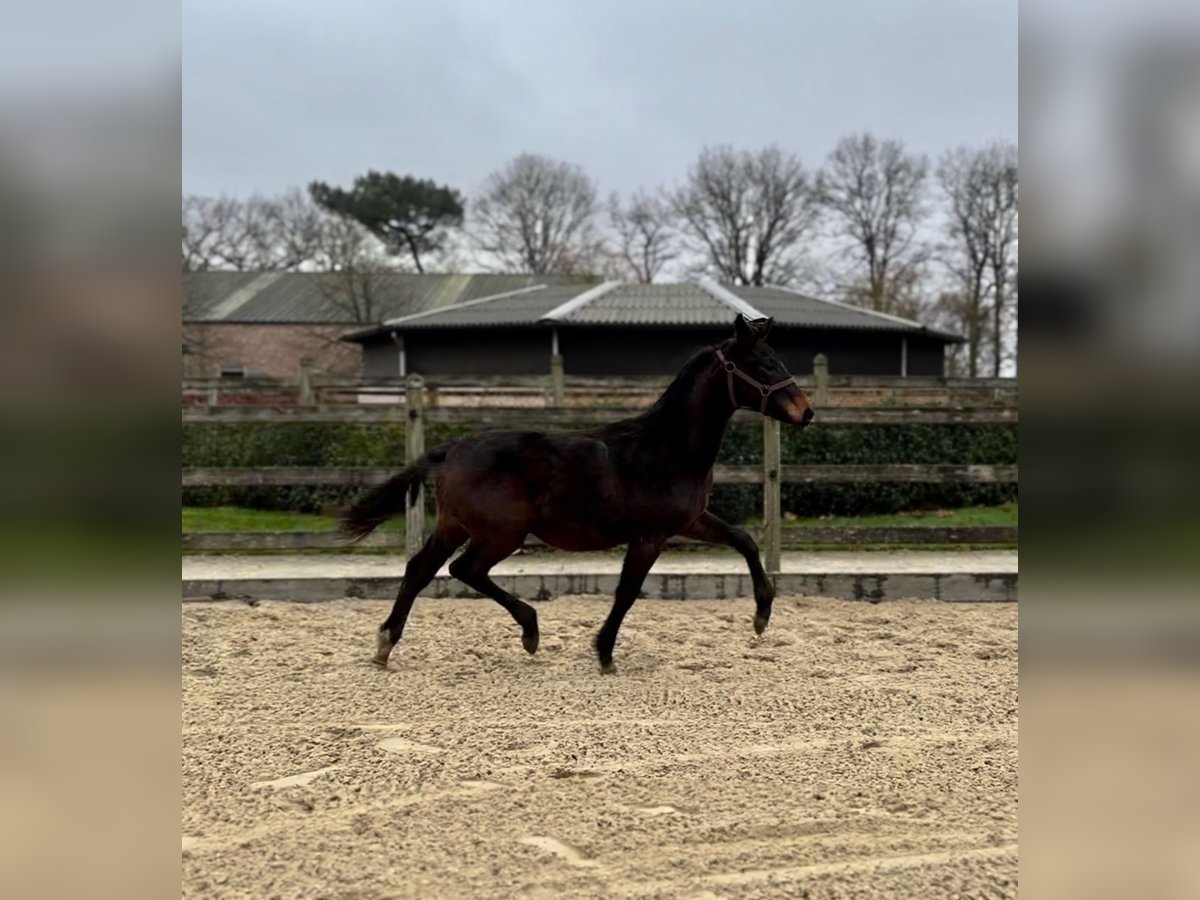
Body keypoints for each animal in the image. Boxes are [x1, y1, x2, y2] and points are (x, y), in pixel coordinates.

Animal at [343, 314, 820, 672]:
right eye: (765, 364)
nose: (807, 412)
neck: (666, 448)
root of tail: (454, 448)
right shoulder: (650, 537)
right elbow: (626, 592)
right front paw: (604, 653)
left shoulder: (690, 521)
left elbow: (744, 540)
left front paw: (761, 616)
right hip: (501, 534)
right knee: (464, 569)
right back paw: (529, 630)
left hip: (455, 525)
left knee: (420, 569)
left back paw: (386, 644)